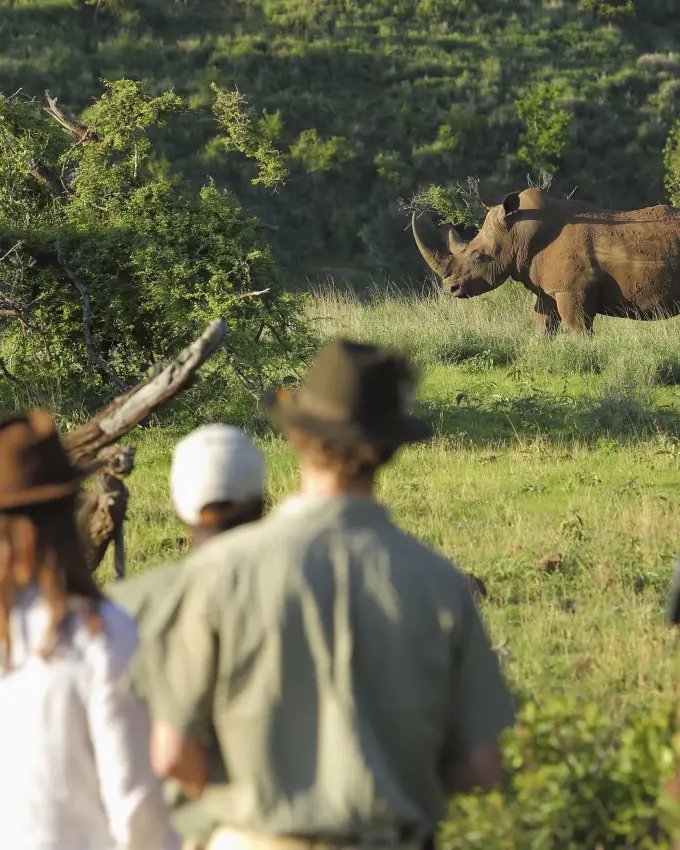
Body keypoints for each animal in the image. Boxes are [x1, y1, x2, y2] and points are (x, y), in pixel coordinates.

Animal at [411, 187, 680, 334]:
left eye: (478, 256)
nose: (450, 288)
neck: (517, 234)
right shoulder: (546, 289)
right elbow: (543, 325)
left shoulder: (571, 291)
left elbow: (578, 328)